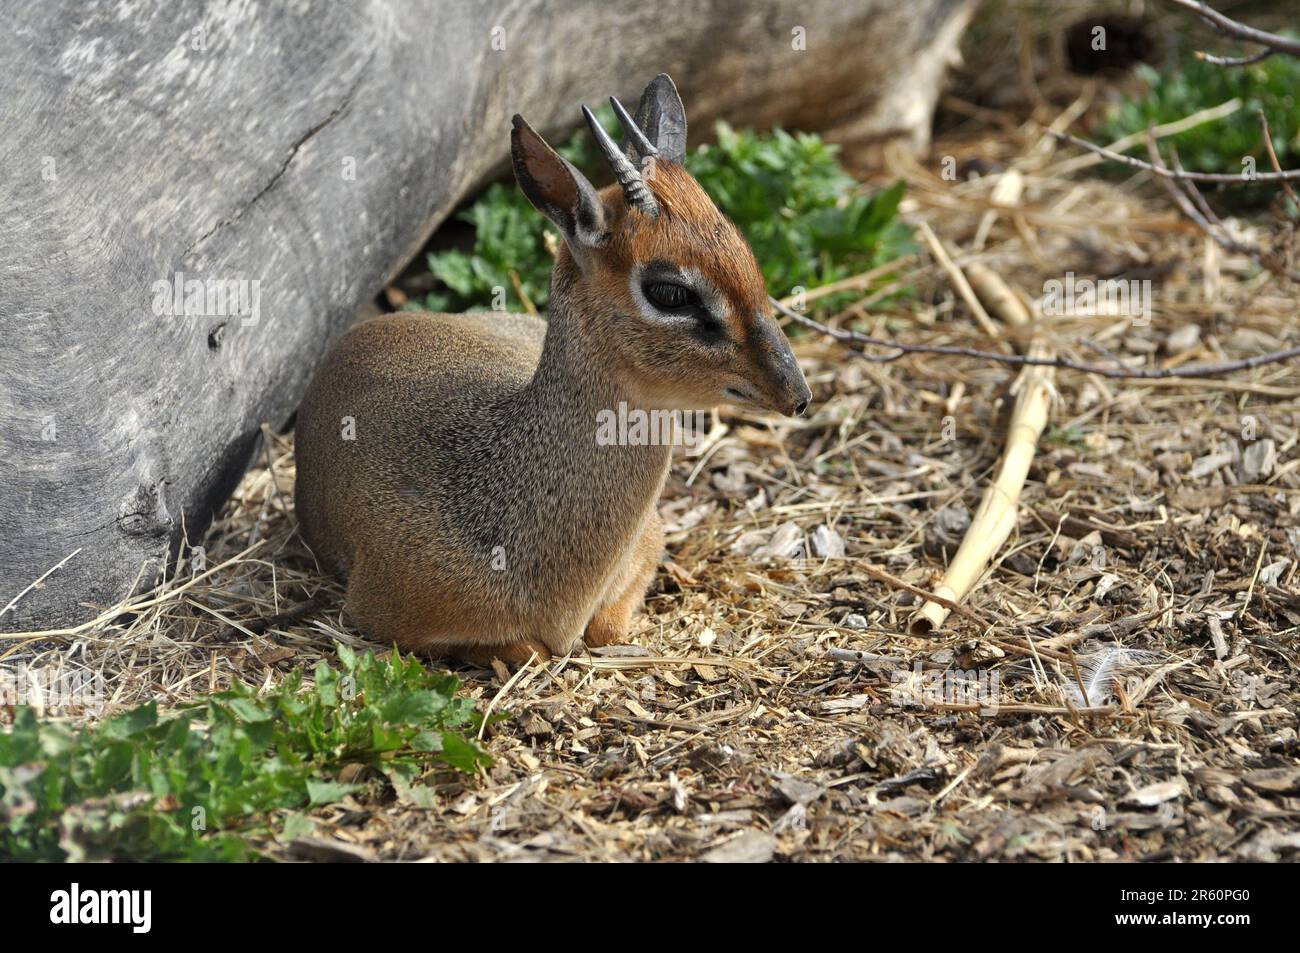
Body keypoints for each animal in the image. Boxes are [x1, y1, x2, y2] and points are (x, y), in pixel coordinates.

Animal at [295, 76, 811, 660]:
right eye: (670, 291)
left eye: (744, 250)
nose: (795, 392)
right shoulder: (384, 617)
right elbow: (527, 648)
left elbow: (608, 627)